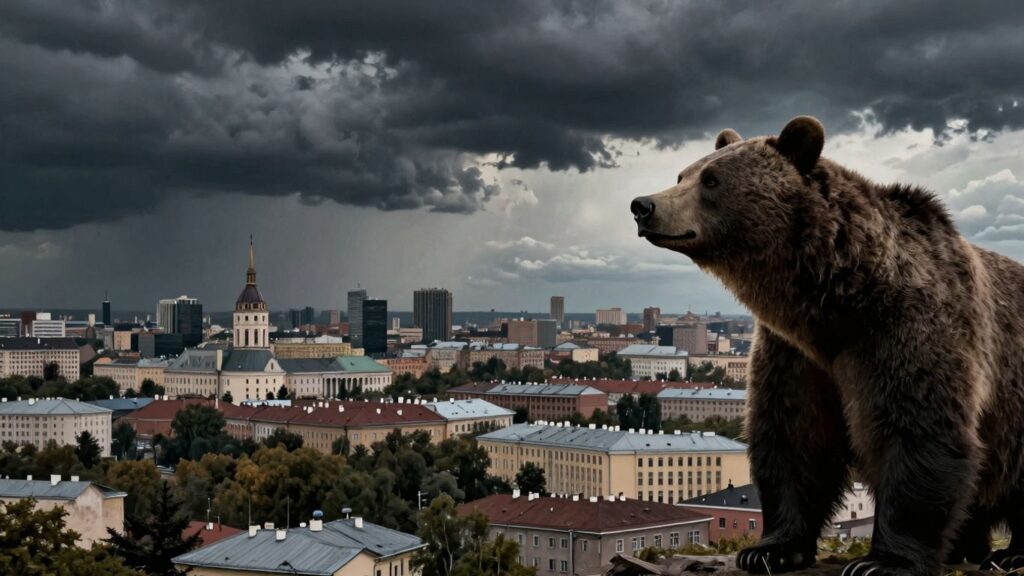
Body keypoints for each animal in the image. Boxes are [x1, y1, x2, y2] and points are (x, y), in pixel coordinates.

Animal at [630, 116, 1024, 576]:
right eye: (682, 174)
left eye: (712, 179)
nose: (643, 205)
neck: (840, 303)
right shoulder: (795, 354)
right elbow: (794, 438)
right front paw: (771, 549)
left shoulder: (907, 331)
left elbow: (916, 430)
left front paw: (883, 561)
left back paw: (1012, 551)